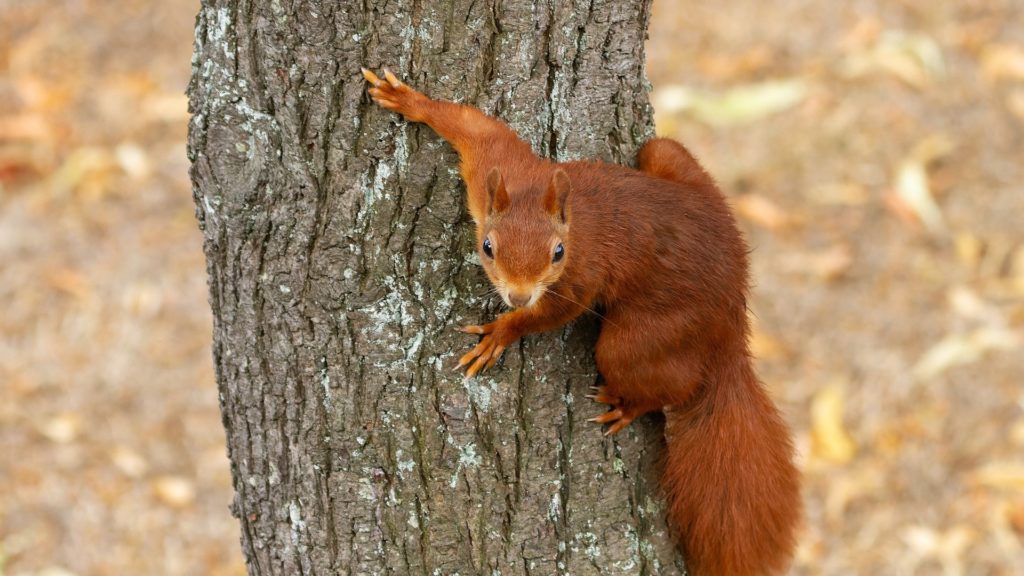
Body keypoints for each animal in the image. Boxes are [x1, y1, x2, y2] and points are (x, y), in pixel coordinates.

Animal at [364, 68, 802, 573]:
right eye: (487, 246)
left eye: (558, 253)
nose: (518, 295)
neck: (563, 218)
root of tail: (733, 313)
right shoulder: (499, 167)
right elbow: (477, 127)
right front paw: (408, 100)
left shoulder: (580, 276)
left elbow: (557, 313)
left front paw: (503, 332)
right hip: (668, 157)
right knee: (662, 150)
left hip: (641, 338)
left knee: (665, 382)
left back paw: (629, 404)